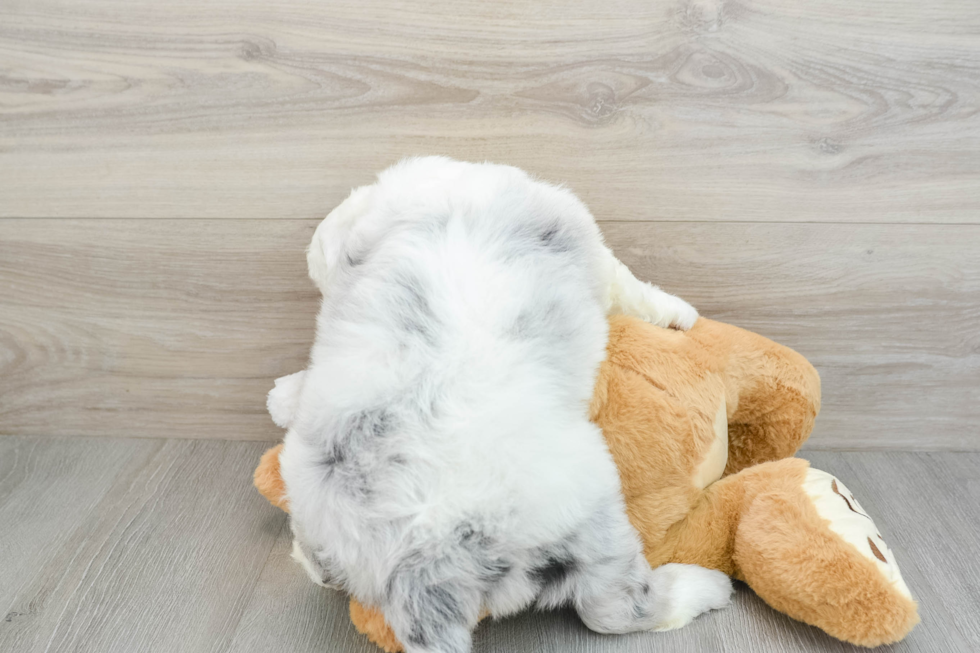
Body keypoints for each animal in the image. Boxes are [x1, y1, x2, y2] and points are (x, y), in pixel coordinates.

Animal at [274, 155, 728, 648]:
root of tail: (420, 564)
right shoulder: (594, 251)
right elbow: (633, 289)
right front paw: (682, 315)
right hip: (592, 518)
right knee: (614, 609)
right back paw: (704, 587)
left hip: (318, 515)